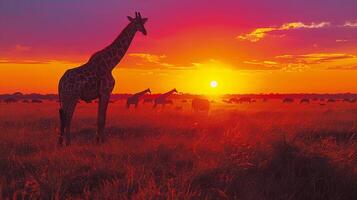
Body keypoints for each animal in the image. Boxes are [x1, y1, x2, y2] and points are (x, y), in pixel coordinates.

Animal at [57, 11, 147, 145]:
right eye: (136, 22)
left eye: (143, 22)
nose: (145, 31)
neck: (111, 64)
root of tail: (60, 82)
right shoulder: (106, 92)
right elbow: (102, 119)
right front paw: (102, 141)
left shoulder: (100, 94)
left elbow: (99, 118)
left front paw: (97, 140)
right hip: (72, 96)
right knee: (67, 117)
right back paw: (68, 143)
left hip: (64, 97)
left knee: (63, 117)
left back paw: (60, 143)